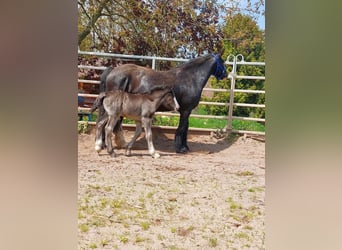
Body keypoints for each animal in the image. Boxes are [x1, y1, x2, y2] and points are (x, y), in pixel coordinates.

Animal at [97, 53, 226, 153]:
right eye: (222, 62)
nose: (225, 74)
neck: (190, 78)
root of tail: (113, 70)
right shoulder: (185, 111)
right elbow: (182, 129)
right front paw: (180, 149)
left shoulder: (187, 111)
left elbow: (186, 128)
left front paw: (185, 147)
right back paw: (103, 145)